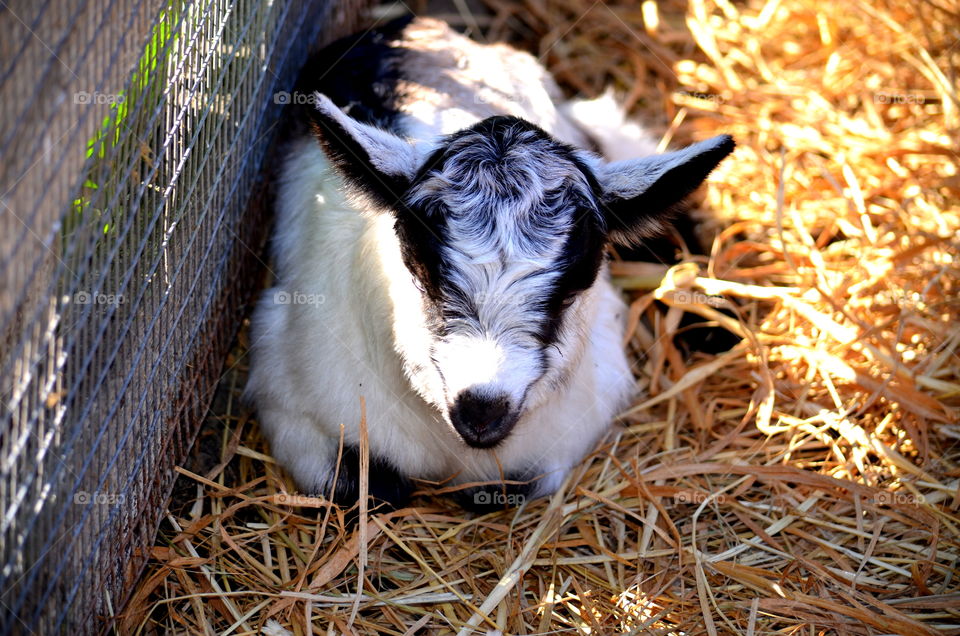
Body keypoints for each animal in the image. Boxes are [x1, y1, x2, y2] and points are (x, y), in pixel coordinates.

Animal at [248, 14, 736, 510]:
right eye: (422, 267)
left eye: (574, 283)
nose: (482, 408)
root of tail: (419, 23)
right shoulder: (289, 396)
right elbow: (369, 488)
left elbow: (513, 485)